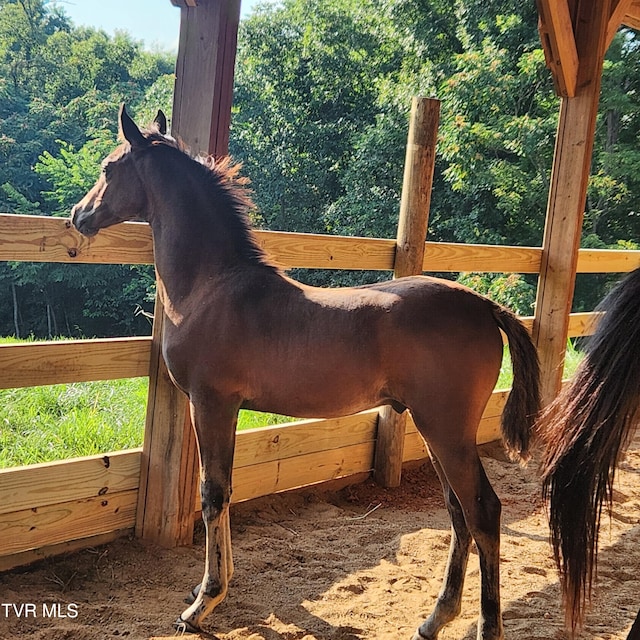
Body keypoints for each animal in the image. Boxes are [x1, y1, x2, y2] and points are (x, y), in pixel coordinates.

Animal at [71, 106, 540, 640]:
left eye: (108, 168)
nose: (78, 215)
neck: (212, 286)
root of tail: (485, 306)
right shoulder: (222, 408)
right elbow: (224, 491)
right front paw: (206, 589)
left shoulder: (211, 403)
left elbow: (213, 494)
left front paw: (204, 603)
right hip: (435, 429)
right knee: (458, 512)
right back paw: (435, 618)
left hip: (446, 429)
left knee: (483, 511)